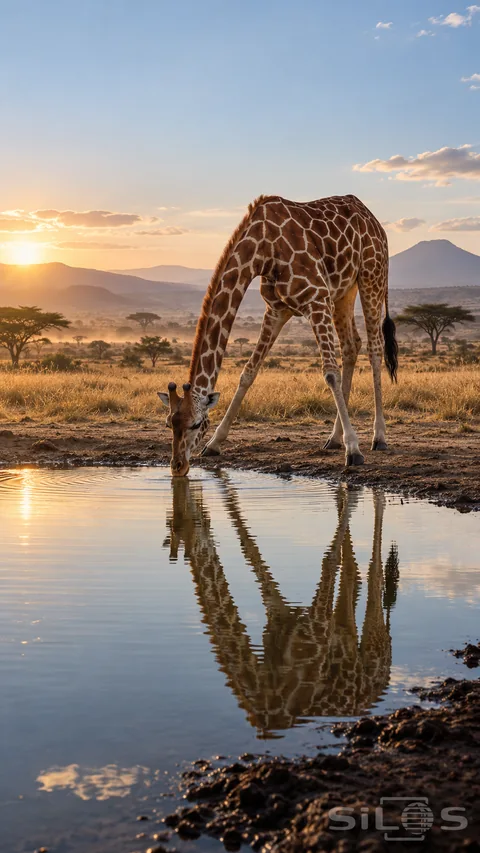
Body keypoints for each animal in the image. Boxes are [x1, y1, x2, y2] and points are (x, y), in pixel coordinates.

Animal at [158, 194, 398, 476]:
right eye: (168, 423)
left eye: (196, 424)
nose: (178, 466)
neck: (263, 248)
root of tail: (373, 219)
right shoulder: (276, 310)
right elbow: (248, 373)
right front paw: (215, 443)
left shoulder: (316, 300)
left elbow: (330, 373)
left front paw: (354, 450)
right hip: (343, 291)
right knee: (351, 345)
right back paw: (334, 438)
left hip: (371, 277)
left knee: (374, 347)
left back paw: (377, 438)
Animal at [164, 473, 395, 737]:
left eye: (184, 523)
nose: (180, 474)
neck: (266, 693)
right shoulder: (278, 620)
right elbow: (249, 549)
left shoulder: (318, 626)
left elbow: (328, 560)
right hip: (345, 630)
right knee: (352, 575)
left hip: (375, 642)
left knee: (375, 571)